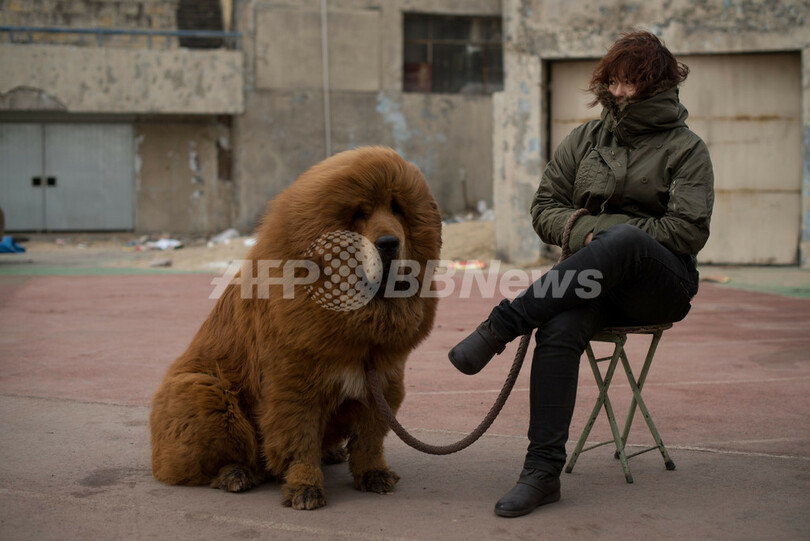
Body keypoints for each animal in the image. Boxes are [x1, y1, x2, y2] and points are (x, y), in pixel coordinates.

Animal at [152, 146, 442, 508]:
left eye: (397, 208)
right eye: (359, 214)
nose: (389, 242)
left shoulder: (384, 381)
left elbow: (370, 439)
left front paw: (374, 473)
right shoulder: (294, 386)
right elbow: (299, 441)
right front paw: (305, 488)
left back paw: (330, 453)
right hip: (205, 392)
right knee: (213, 460)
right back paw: (236, 474)